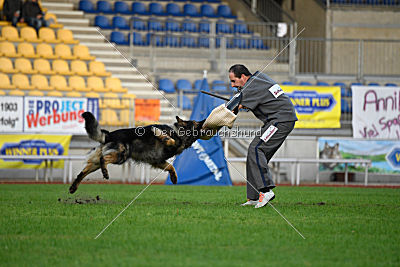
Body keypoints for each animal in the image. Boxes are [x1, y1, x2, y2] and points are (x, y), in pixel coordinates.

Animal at [69, 111, 205, 195]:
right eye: (196, 123)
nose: (204, 120)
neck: (179, 133)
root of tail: (109, 135)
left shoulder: (158, 161)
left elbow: (171, 167)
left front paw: (174, 178)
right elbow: (168, 139)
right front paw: (161, 135)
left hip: (96, 163)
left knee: (82, 173)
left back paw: (73, 187)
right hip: (121, 155)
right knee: (104, 159)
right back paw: (105, 172)